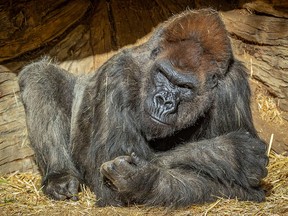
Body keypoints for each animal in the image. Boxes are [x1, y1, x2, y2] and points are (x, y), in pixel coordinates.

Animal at [19, 8, 268, 208]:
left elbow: (243, 190)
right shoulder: (116, 75)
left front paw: (141, 180)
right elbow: (107, 177)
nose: (164, 101)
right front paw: (232, 153)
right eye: (163, 75)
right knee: (40, 76)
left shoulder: (232, 85)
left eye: (184, 87)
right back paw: (59, 177)